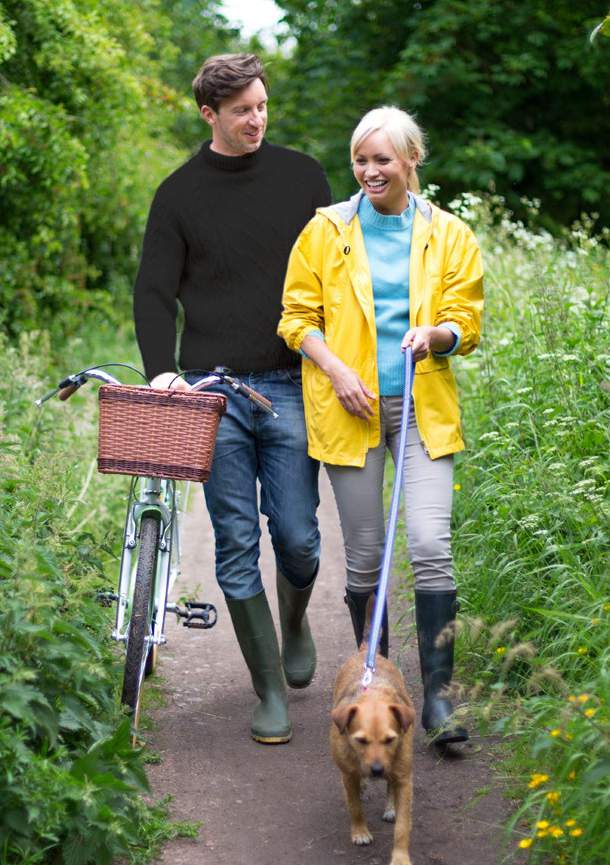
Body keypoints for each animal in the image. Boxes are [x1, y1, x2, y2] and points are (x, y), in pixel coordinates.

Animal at [330, 644, 416, 860]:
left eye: (390, 740)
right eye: (361, 741)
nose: (377, 770)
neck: (373, 695)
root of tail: (365, 650)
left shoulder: (404, 779)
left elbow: (402, 826)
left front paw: (400, 859)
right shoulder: (348, 775)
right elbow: (355, 806)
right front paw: (360, 832)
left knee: (390, 786)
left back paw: (390, 807)